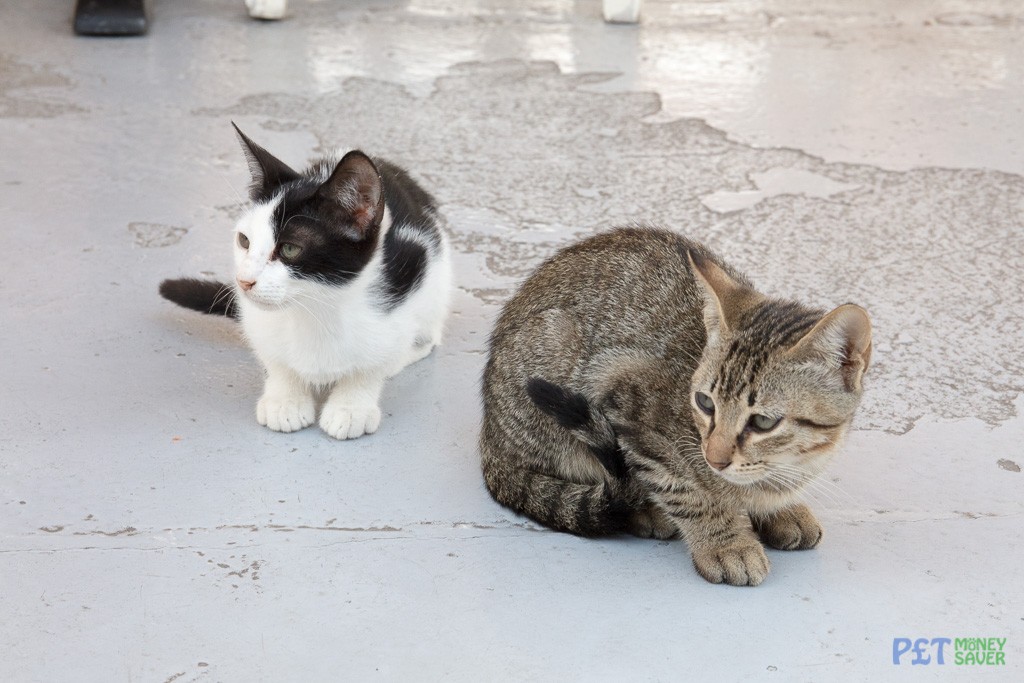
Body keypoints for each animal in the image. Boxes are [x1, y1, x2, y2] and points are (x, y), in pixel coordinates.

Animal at [158, 125, 448, 440]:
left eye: (290, 249)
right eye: (244, 241)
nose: (243, 281)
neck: (315, 308)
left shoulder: (409, 277)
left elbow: (373, 361)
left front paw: (351, 407)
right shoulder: (257, 320)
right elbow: (275, 359)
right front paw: (285, 400)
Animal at [481, 227, 872, 585]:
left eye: (763, 422)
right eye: (704, 402)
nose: (714, 459)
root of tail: (490, 436)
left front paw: (781, 509)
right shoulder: (623, 392)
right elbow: (685, 488)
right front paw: (726, 543)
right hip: (557, 354)